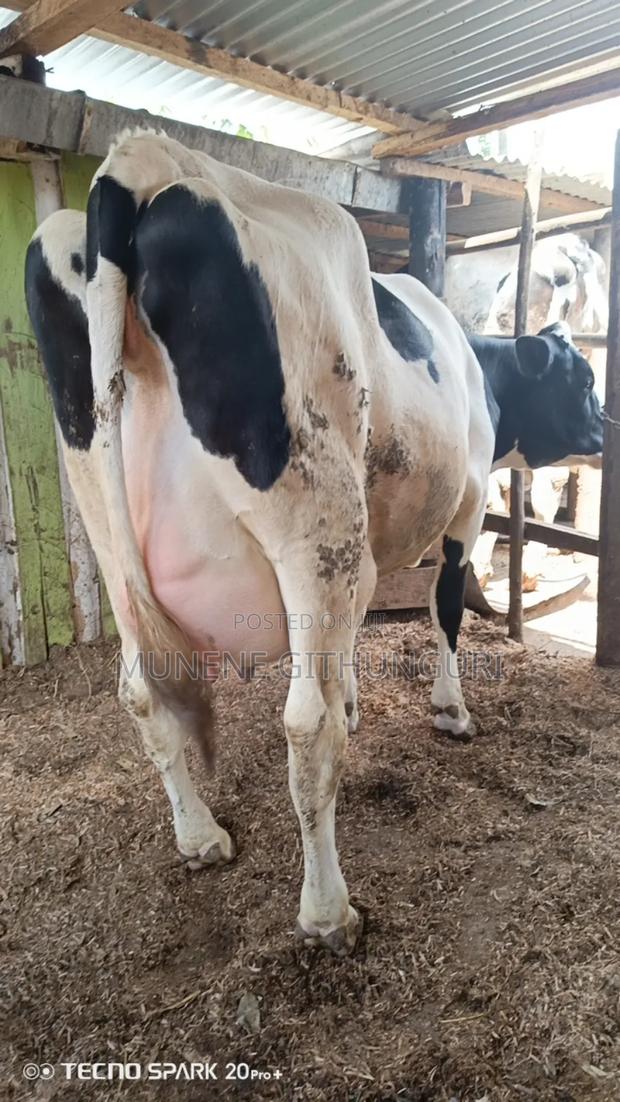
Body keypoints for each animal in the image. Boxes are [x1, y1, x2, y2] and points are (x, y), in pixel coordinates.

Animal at [25, 131, 603, 955]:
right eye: (583, 379)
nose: (605, 428)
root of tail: (141, 162)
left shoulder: (360, 559)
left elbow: (354, 635)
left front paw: (357, 697)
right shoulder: (461, 509)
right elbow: (447, 612)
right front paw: (451, 711)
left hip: (111, 533)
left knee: (143, 693)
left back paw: (200, 836)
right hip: (314, 525)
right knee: (305, 729)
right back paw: (328, 910)